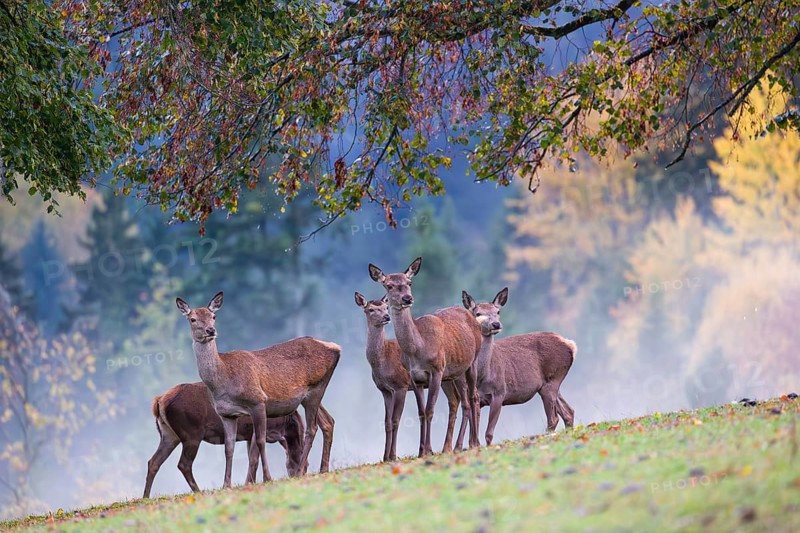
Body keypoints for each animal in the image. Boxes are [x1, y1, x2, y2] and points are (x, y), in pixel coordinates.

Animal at [143, 381, 319, 498]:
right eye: (306, 463)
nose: (298, 474)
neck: (284, 424)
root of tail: (158, 401)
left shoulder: (248, 434)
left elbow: (251, 458)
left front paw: (252, 481)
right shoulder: (257, 430)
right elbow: (253, 459)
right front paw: (251, 483)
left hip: (168, 434)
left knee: (153, 461)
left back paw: (145, 496)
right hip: (192, 433)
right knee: (183, 464)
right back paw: (199, 491)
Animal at [175, 291, 340, 488]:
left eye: (213, 316)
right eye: (192, 319)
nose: (210, 330)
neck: (223, 382)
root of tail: (336, 347)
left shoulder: (258, 402)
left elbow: (261, 441)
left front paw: (267, 478)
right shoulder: (226, 414)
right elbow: (229, 448)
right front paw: (226, 485)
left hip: (317, 388)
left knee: (312, 428)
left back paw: (301, 470)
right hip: (311, 395)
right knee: (328, 421)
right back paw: (323, 468)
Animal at [354, 292, 472, 460]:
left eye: (385, 307)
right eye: (370, 309)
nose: (386, 317)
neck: (382, 363)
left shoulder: (401, 385)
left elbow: (396, 419)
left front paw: (392, 455)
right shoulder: (385, 390)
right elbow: (387, 422)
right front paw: (384, 456)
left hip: (456, 374)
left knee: (467, 400)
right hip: (446, 379)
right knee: (454, 401)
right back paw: (447, 447)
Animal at [368, 257, 482, 456]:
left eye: (409, 282)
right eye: (389, 285)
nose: (407, 298)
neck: (417, 349)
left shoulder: (436, 370)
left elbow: (430, 410)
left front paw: (428, 449)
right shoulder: (415, 378)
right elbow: (421, 412)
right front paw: (422, 451)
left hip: (472, 361)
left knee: (474, 397)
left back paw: (474, 442)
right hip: (455, 373)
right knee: (463, 402)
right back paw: (454, 446)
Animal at [457, 287, 576, 447]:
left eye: (498, 311)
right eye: (478, 313)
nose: (496, 324)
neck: (482, 377)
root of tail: (570, 344)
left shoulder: (500, 392)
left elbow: (488, 434)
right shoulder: (475, 399)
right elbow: (473, 437)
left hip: (553, 379)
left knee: (554, 418)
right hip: (549, 384)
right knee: (568, 412)